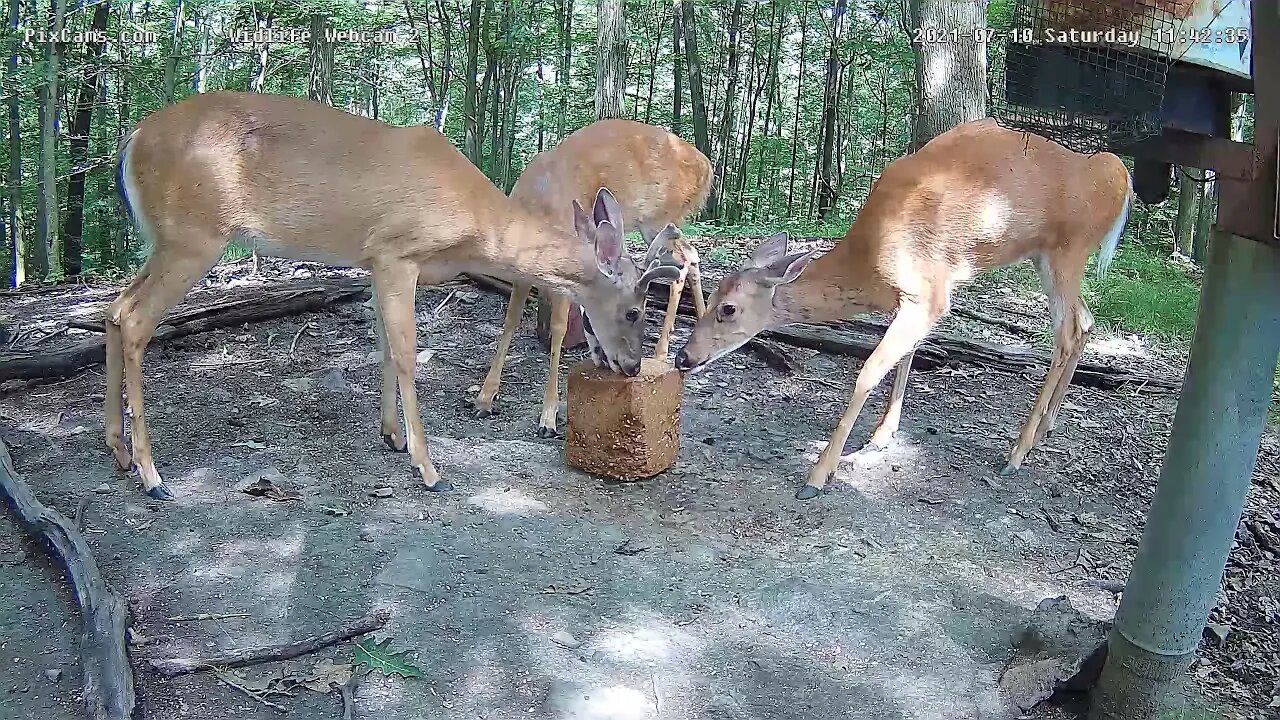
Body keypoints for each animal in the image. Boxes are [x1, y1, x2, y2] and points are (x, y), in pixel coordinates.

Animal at [107, 90, 691, 499]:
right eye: (635, 309)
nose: (632, 367)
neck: (474, 223)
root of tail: (130, 140)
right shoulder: (397, 252)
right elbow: (407, 353)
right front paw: (428, 467)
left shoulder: (374, 262)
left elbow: (384, 347)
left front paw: (392, 435)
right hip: (194, 235)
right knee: (135, 319)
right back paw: (152, 474)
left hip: (167, 239)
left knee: (113, 309)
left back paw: (119, 451)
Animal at [471, 117, 716, 435]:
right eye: (631, 313)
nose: (632, 368)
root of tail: (707, 166)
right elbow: (511, 321)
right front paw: (484, 398)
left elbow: (559, 328)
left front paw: (548, 416)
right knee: (691, 253)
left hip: (661, 216)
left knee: (682, 260)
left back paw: (663, 351)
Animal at [670, 117, 1131, 499]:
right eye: (710, 298)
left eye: (728, 309)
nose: (684, 356)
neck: (871, 263)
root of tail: (1118, 177)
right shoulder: (911, 300)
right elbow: (907, 356)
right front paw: (880, 436)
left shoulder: (929, 293)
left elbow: (869, 371)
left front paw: (819, 475)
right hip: (1048, 258)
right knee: (1085, 322)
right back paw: (1044, 429)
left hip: (1067, 251)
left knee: (1066, 332)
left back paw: (1017, 453)